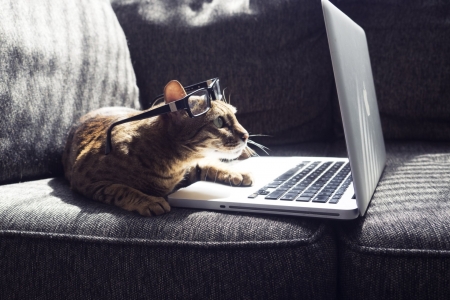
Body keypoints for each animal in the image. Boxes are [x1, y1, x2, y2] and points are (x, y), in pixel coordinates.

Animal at [62, 79, 255, 216]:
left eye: (235, 116)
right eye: (219, 122)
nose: (246, 135)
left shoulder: (192, 166)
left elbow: (211, 164)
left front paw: (236, 172)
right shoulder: (86, 180)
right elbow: (120, 189)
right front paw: (149, 201)